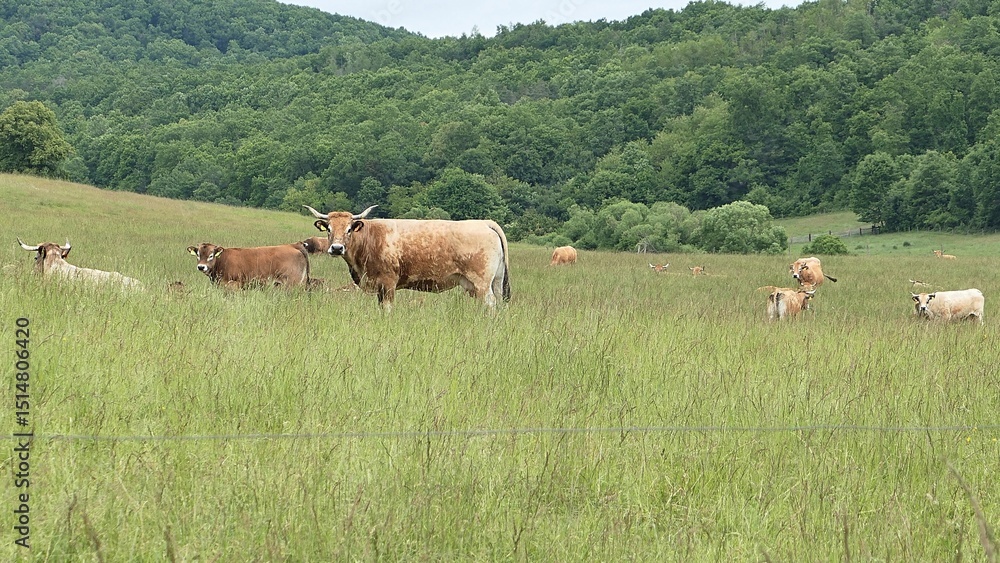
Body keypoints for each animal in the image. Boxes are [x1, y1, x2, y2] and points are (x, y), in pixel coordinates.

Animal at [304, 205, 510, 310]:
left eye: (349, 229)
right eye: (329, 229)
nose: (337, 248)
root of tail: (484, 223)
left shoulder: (387, 283)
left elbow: (387, 309)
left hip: (482, 282)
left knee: (490, 303)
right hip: (492, 281)